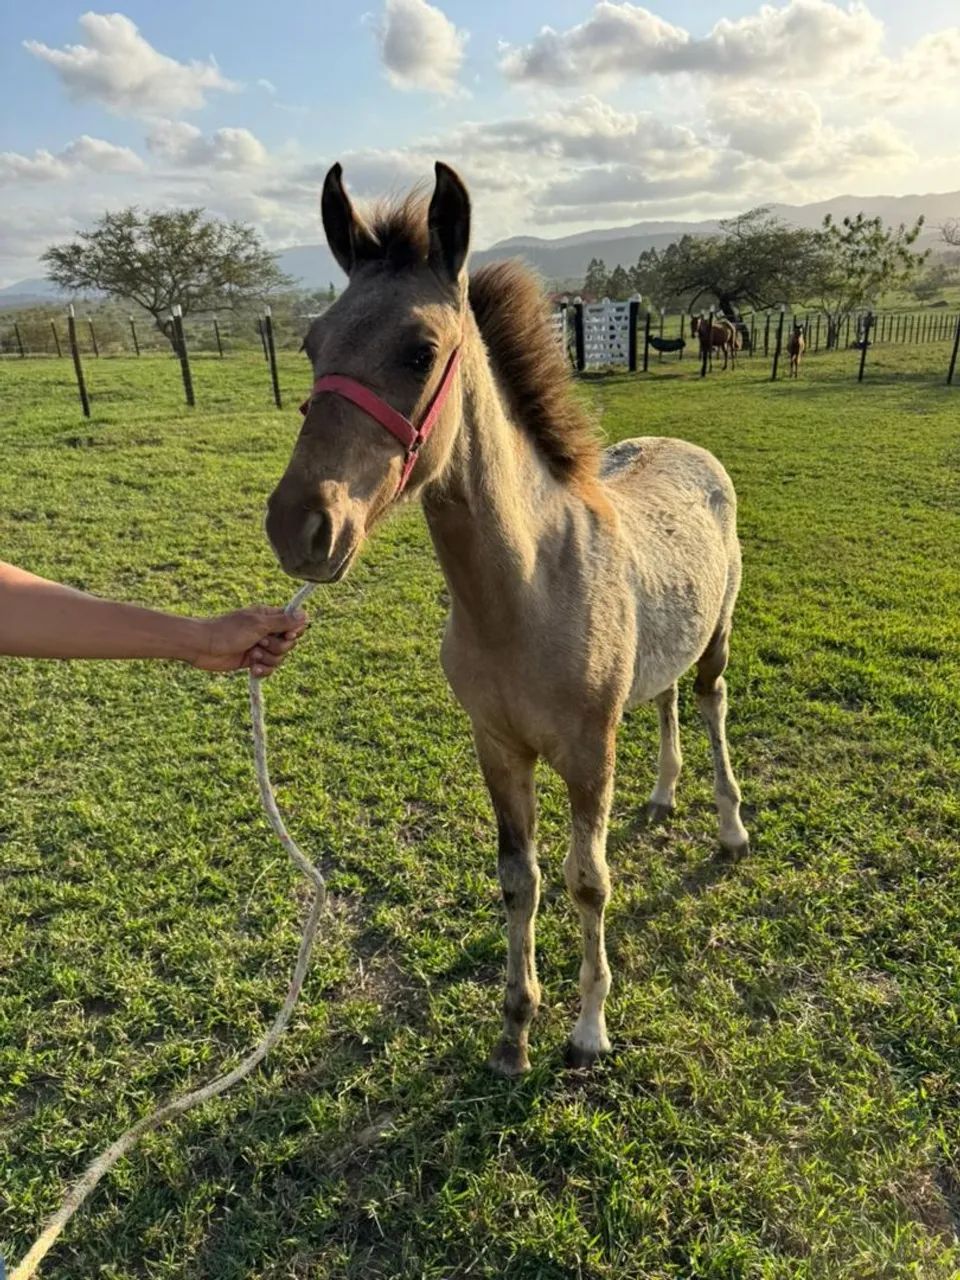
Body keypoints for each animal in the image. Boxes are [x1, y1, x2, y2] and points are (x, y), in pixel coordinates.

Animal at [266, 163, 749, 1075]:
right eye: (310, 345)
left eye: (420, 351)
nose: (298, 526)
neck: (524, 595)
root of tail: (688, 449)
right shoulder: (497, 748)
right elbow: (518, 879)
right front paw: (513, 1030)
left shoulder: (588, 754)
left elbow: (587, 880)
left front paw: (589, 1030)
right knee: (667, 698)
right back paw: (665, 796)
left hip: (718, 637)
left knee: (709, 707)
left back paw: (732, 827)